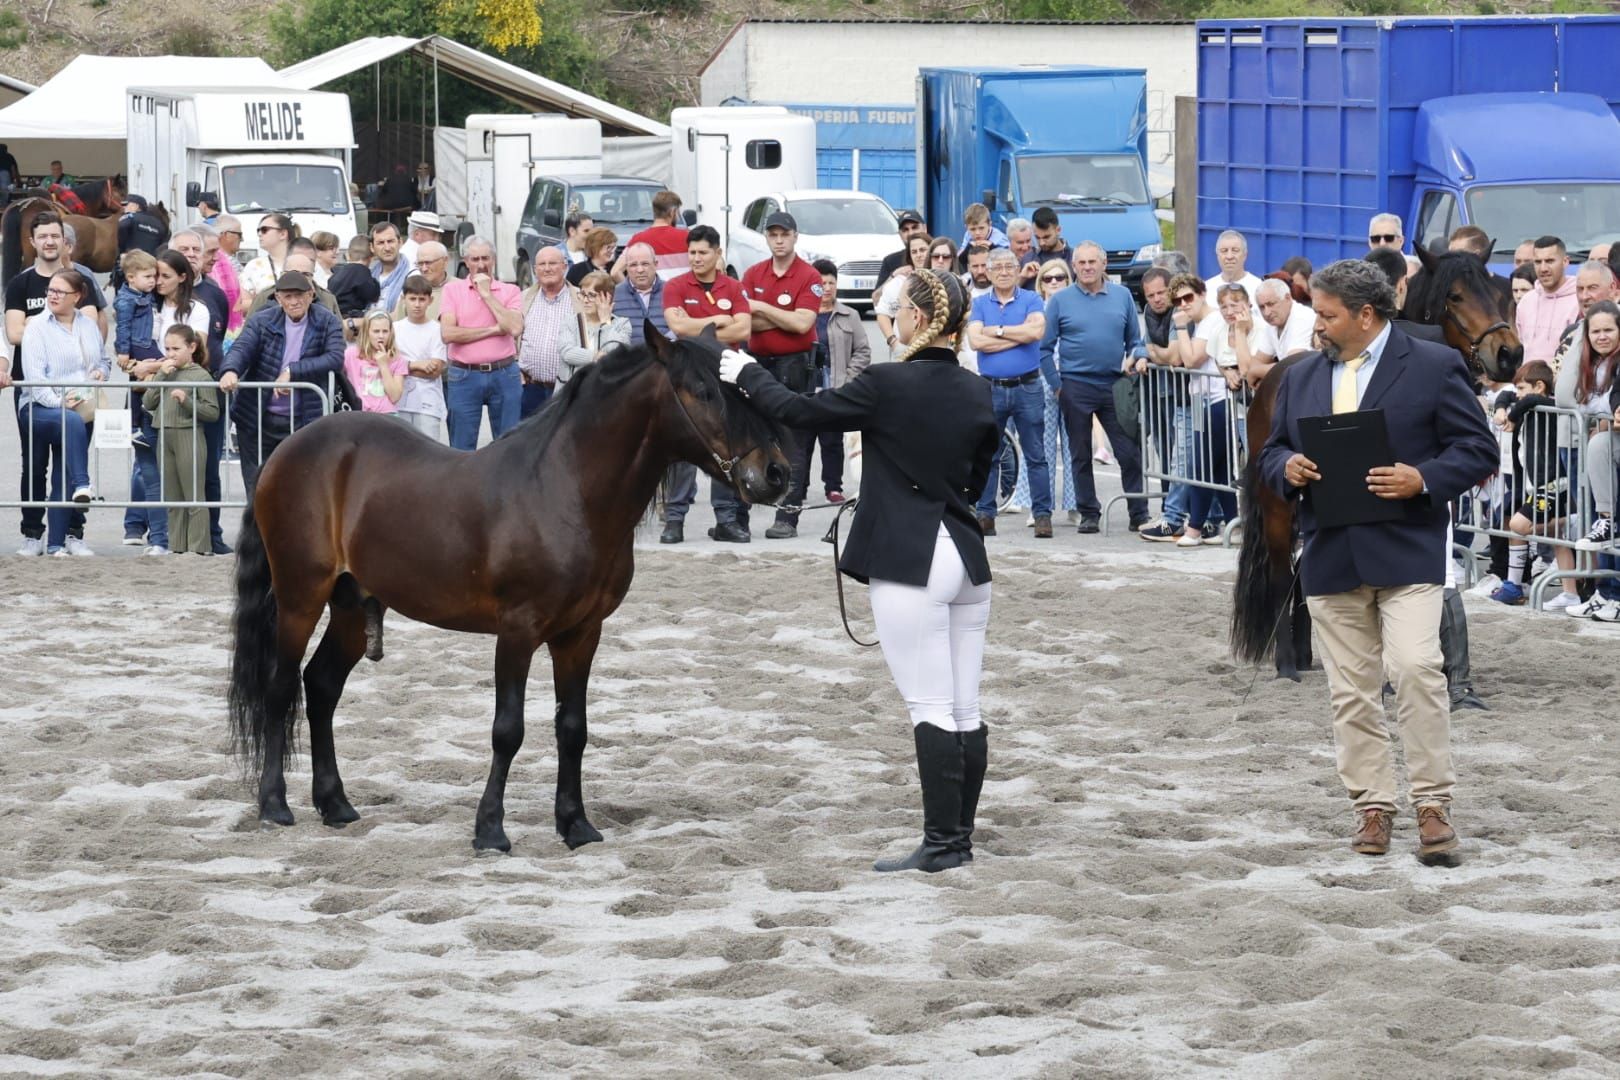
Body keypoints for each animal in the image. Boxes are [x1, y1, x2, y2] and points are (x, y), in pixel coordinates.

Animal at [226, 330, 790, 854]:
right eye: (704, 391)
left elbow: (573, 728)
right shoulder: (517, 631)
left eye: (740, 388)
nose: (776, 473)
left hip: (349, 605)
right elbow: (508, 729)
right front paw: (490, 830)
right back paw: (274, 804)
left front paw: (575, 824)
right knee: (281, 687)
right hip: (300, 597)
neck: (565, 491)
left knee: (321, 687)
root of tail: (288, 449)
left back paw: (335, 804)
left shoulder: (581, 634)